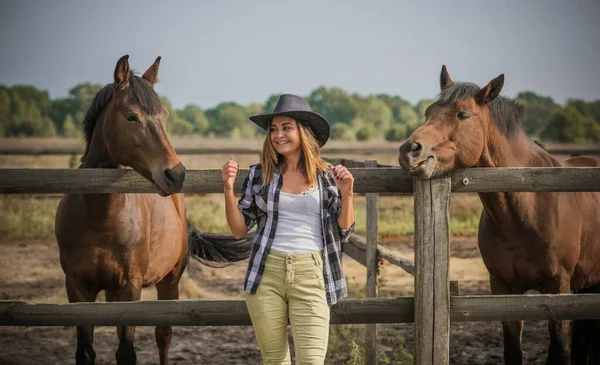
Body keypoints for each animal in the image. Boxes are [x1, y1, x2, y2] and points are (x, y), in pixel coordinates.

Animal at [55, 54, 252, 364]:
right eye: (131, 116)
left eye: (165, 116)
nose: (176, 174)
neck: (99, 220)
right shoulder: (77, 288)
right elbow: (85, 352)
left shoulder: (130, 287)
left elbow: (126, 351)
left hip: (169, 282)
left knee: (164, 336)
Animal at [398, 66, 600, 364]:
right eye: (428, 112)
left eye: (463, 114)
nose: (409, 150)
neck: (529, 206)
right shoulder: (503, 288)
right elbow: (513, 351)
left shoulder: (558, 289)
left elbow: (559, 350)